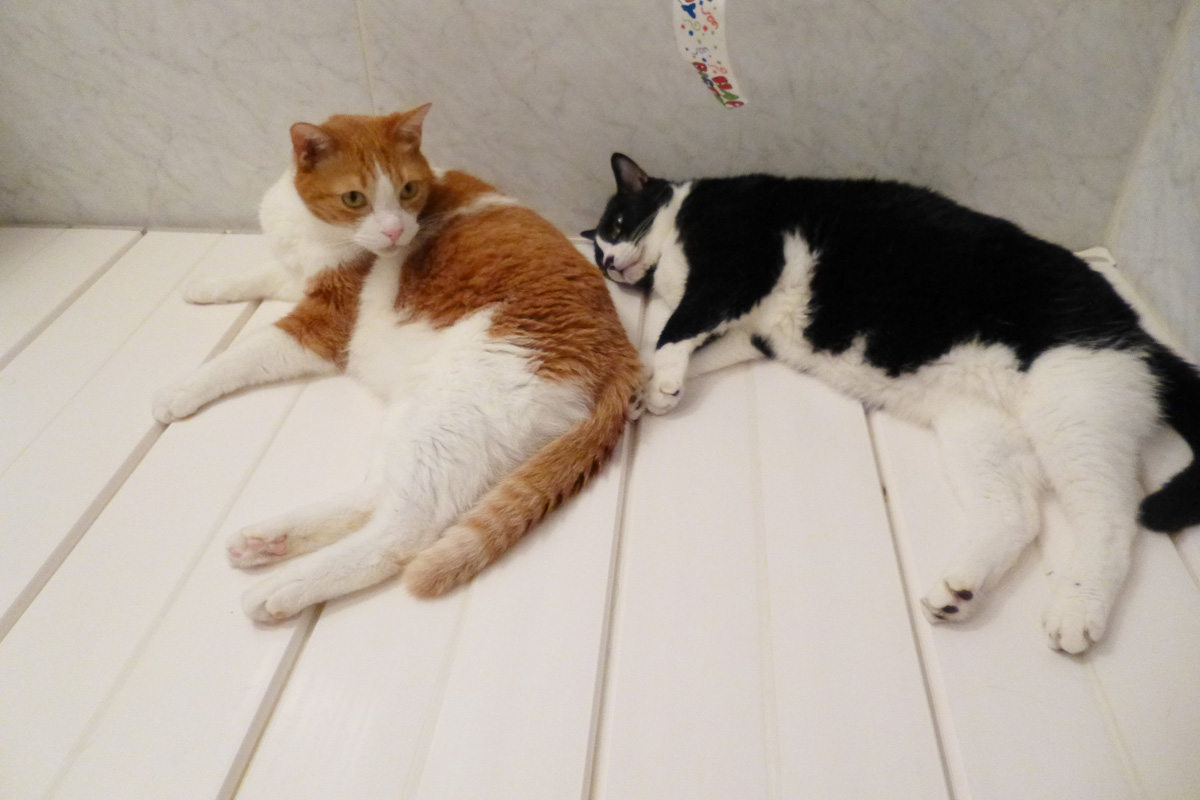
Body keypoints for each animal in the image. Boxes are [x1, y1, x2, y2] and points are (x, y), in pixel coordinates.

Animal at [154, 107, 641, 622]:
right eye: (355, 198)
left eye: (408, 190)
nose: (394, 231)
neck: (314, 230)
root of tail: (624, 355)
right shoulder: (300, 276)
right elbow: (259, 275)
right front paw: (205, 286)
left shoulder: (323, 327)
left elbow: (243, 354)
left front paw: (179, 390)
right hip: (421, 417)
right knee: (377, 494)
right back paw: (269, 540)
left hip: (449, 415)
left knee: (401, 531)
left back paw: (283, 586)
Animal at [583, 153, 1200, 654]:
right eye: (598, 249)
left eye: (615, 226)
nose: (609, 263)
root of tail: (1139, 334)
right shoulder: (749, 332)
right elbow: (687, 341)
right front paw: (640, 384)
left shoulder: (739, 262)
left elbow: (678, 326)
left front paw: (661, 382)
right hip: (979, 429)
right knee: (1016, 514)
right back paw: (959, 587)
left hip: (1074, 409)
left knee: (1111, 516)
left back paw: (1076, 608)